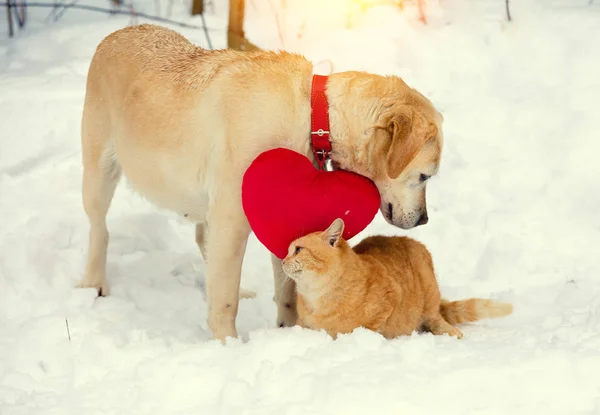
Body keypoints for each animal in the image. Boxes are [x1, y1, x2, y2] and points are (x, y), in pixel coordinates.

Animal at [78, 24, 446, 342]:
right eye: (425, 176)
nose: (424, 219)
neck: (313, 116)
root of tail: (118, 33)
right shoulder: (232, 218)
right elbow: (226, 301)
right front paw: (227, 342)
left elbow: (287, 287)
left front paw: (291, 330)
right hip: (99, 171)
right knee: (100, 230)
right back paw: (93, 284)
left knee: (204, 242)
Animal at [282, 219, 510, 340]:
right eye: (288, 250)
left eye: (298, 249)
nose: (283, 261)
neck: (316, 298)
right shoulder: (303, 323)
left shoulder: (390, 298)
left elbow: (367, 328)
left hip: (428, 293)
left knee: (435, 318)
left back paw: (450, 331)